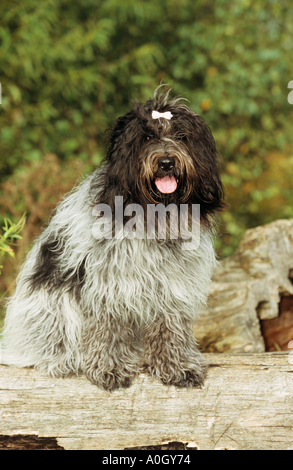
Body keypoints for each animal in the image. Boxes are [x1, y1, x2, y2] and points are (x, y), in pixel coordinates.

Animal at [1, 86, 224, 392]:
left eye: (181, 136)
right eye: (146, 137)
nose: (166, 162)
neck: (154, 213)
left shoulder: (173, 284)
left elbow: (171, 326)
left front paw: (177, 366)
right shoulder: (109, 282)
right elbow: (109, 327)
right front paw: (110, 368)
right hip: (52, 311)